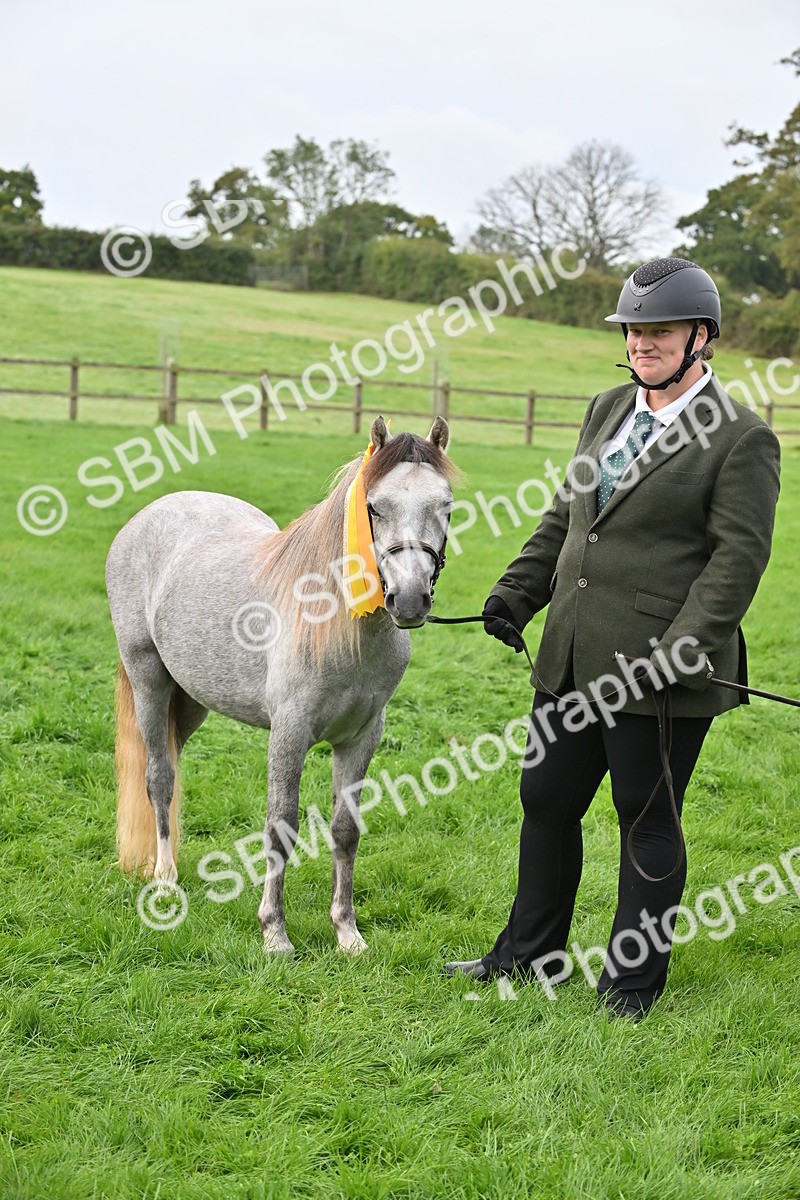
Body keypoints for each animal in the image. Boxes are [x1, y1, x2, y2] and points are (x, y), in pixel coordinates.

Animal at [107, 415, 457, 953]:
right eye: (375, 507)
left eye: (446, 506)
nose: (411, 599)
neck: (340, 627)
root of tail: (144, 518)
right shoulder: (288, 733)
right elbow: (280, 827)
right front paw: (274, 933)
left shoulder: (362, 738)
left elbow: (345, 829)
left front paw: (347, 932)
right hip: (149, 681)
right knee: (159, 777)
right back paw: (164, 878)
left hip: (190, 701)